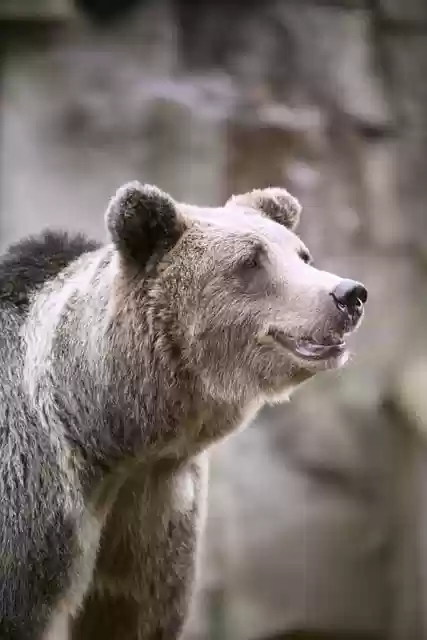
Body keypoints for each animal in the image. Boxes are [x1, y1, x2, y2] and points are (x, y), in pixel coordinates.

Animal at [0, 181, 367, 640]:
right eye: (251, 260)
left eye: (302, 255)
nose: (348, 294)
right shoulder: (34, 502)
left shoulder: (155, 506)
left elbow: (135, 611)